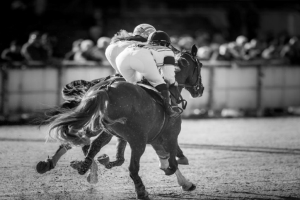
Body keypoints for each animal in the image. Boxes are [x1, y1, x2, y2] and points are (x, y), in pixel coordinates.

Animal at [47, 44, 204, 199]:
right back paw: (141, 191)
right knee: (132, 168)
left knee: (84, 142)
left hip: (102, 126)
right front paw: (184, 180)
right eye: (200, 65)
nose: (201, 89)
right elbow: (171, 163)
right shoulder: (170, 136)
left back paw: (79, 166)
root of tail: (105, 89)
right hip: (138, 141)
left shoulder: (146, 137)